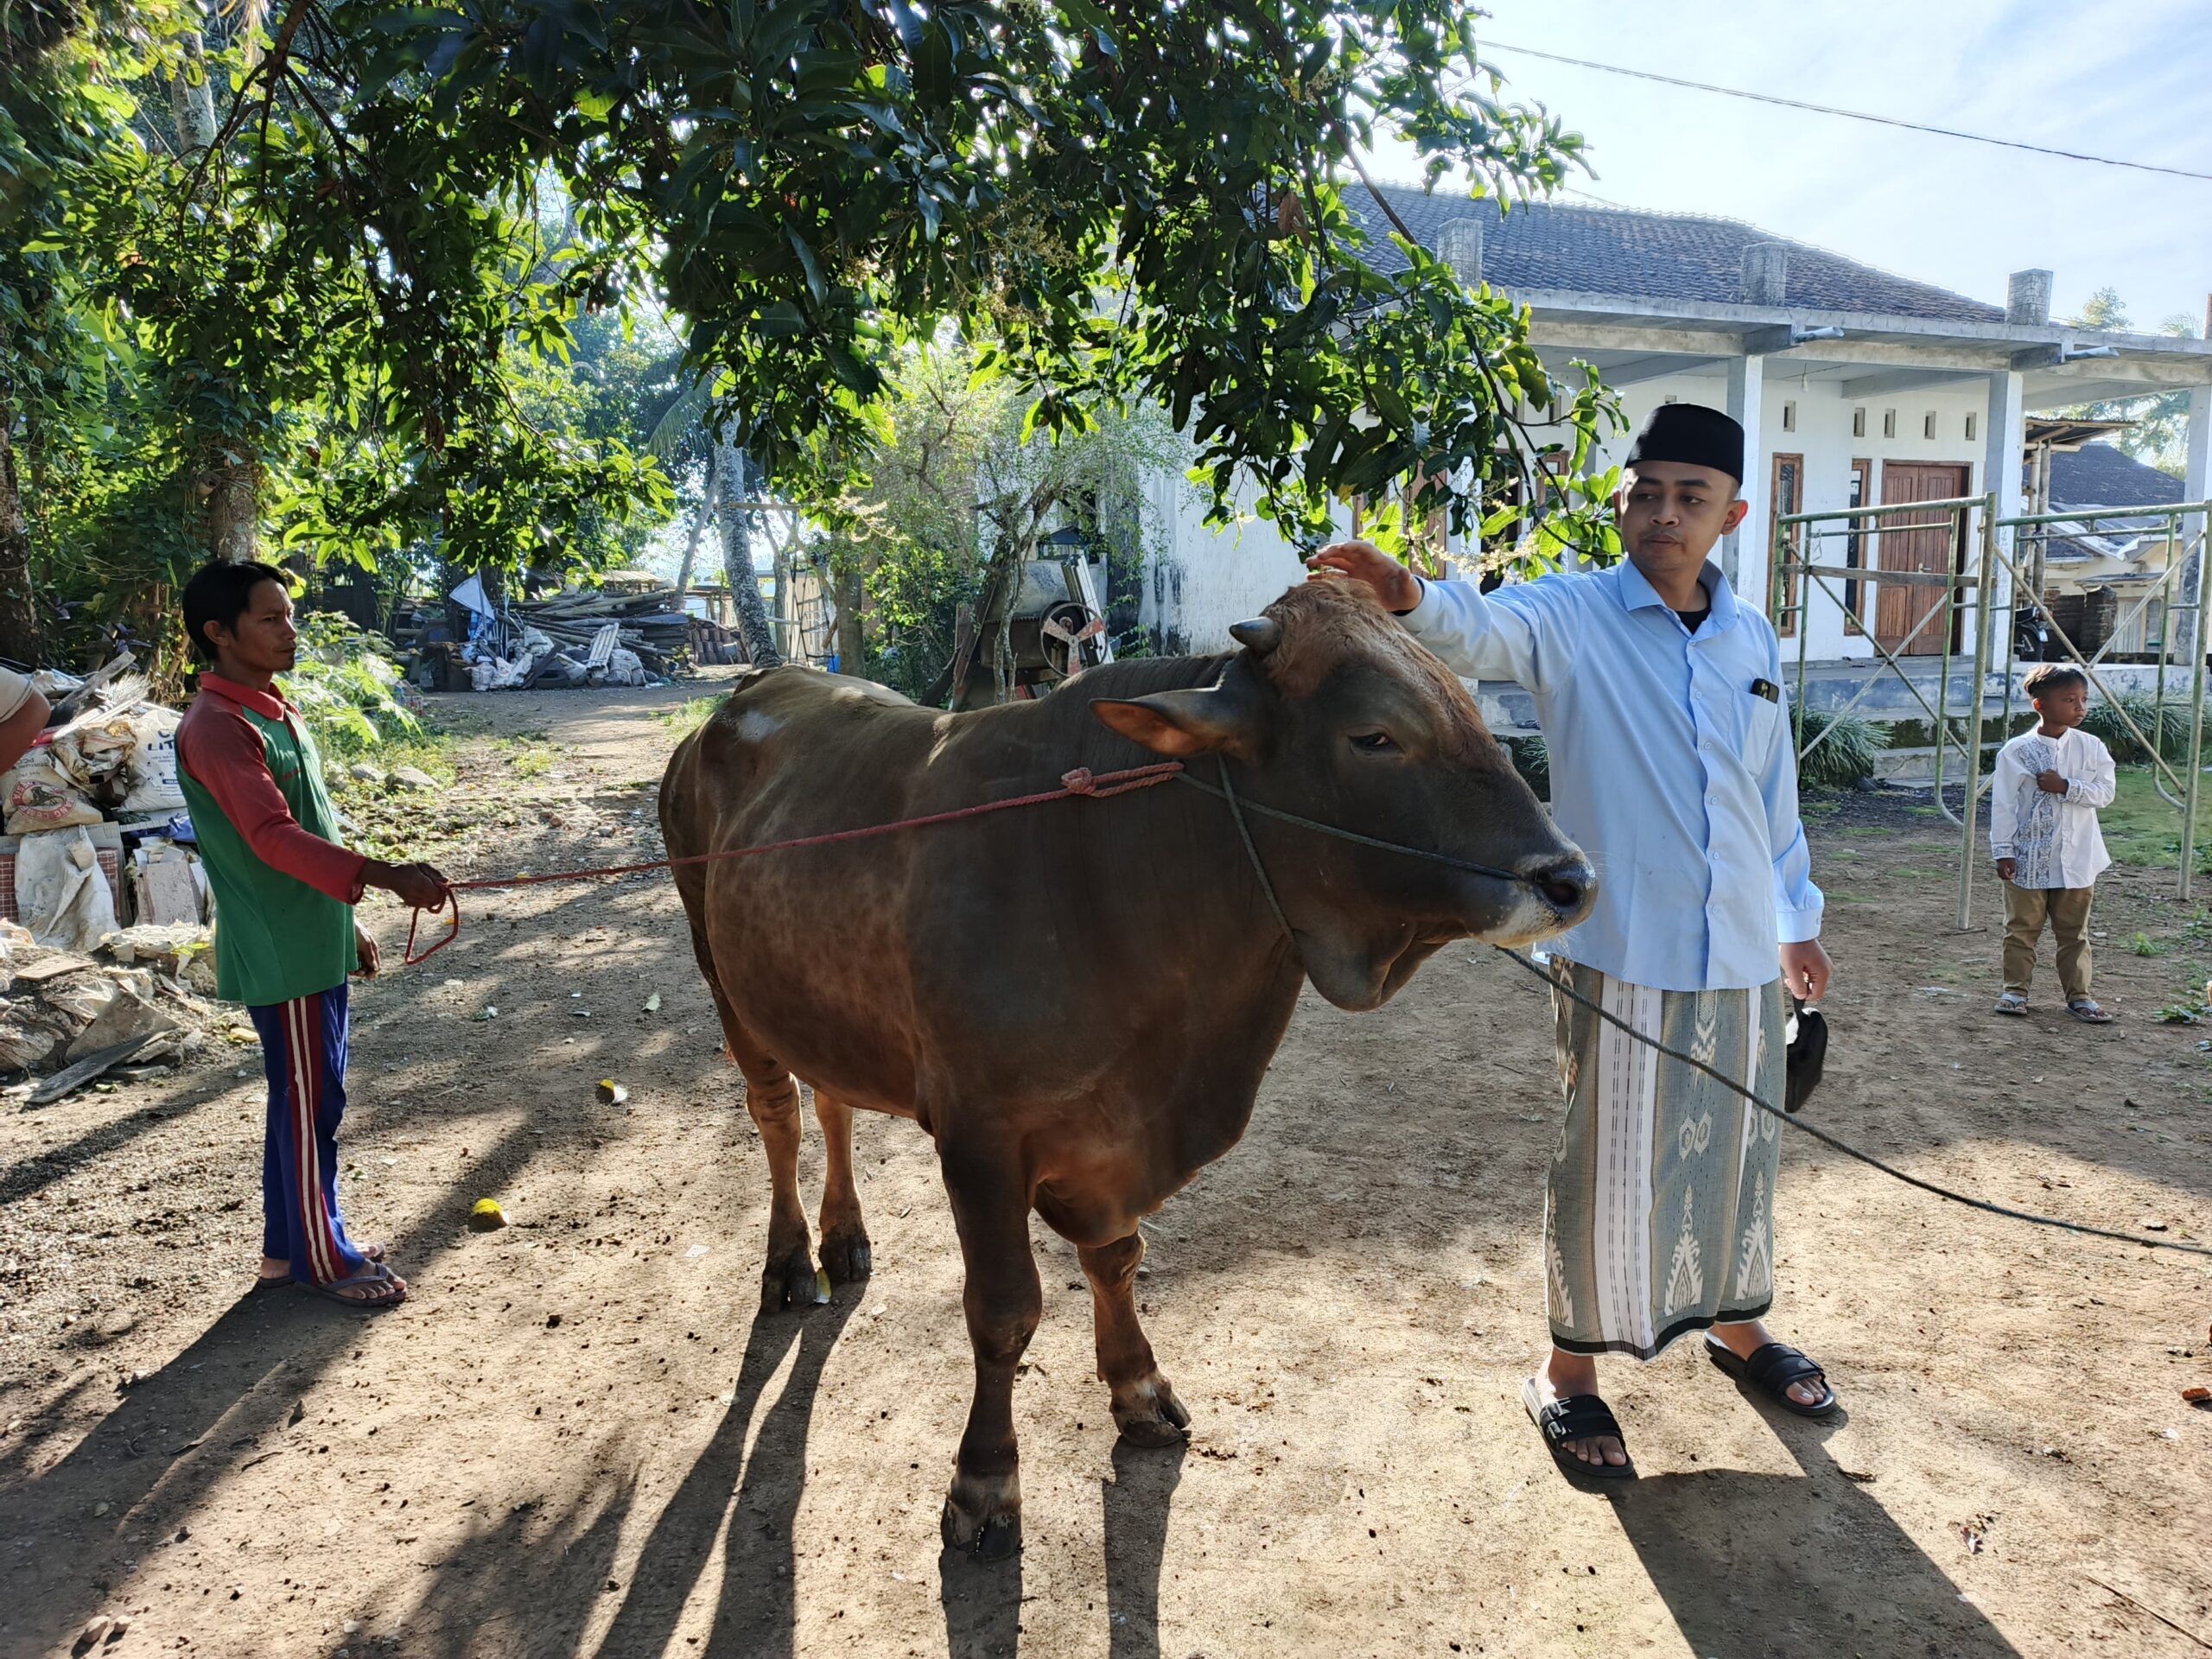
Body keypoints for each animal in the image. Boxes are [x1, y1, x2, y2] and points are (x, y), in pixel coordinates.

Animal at [654, 575, 1592, 1557]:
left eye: (1467, 704)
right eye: (1373, 736)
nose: (1570, 879)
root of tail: (748, 691)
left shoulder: (1115, 1135)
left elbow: (1117, 1259)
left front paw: (1137, 1388)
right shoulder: (981, 1139)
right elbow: (1004, 1313)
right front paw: (985, 1480)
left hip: (810, 998)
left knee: (831, 1099)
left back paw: (844, 1237)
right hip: (722, 974)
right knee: (777, 1112)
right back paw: (791, 1258)